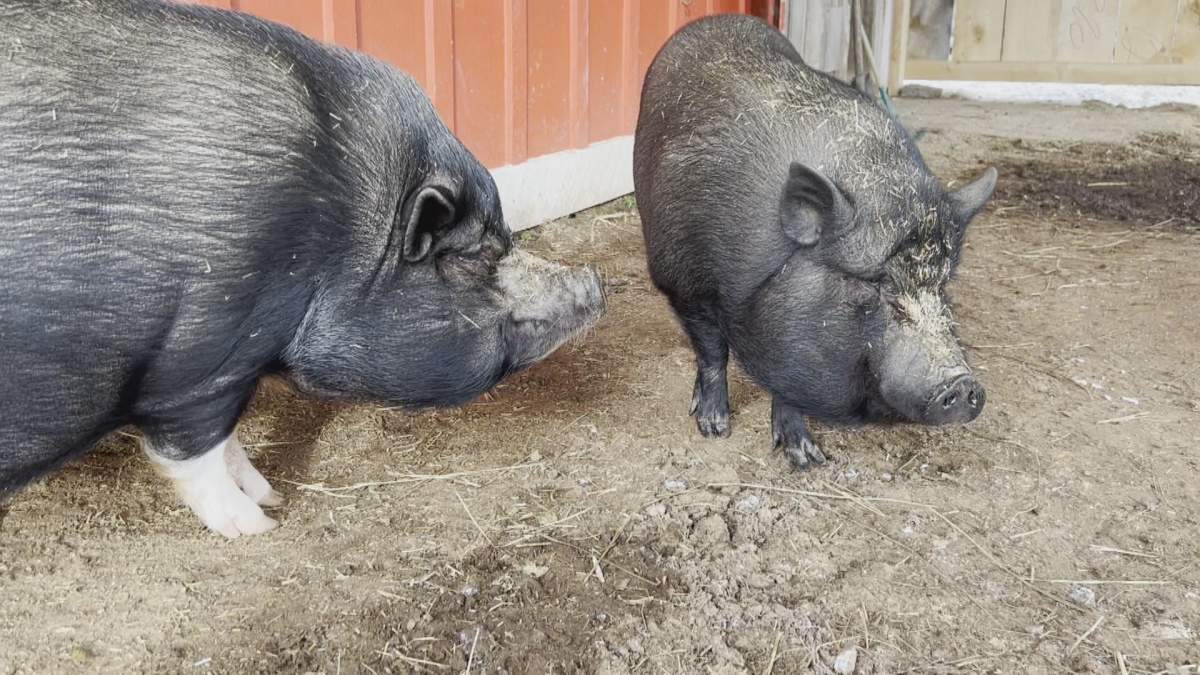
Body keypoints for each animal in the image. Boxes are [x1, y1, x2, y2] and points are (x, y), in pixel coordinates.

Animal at [0, 0, 604, 536]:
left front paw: (269, 494)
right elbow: (195, 449)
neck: (330, 242)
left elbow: (230, 440)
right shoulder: (199, 355)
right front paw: (262, 522)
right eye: (476, 253)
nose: (596, 280)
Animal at [633, 16, 996, 469]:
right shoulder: (683, 280)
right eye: (871, 285)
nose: (963, 385)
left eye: (942, 284)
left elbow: (790, 386)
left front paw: (807, 459)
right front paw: (714, 429)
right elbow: (712, 351)